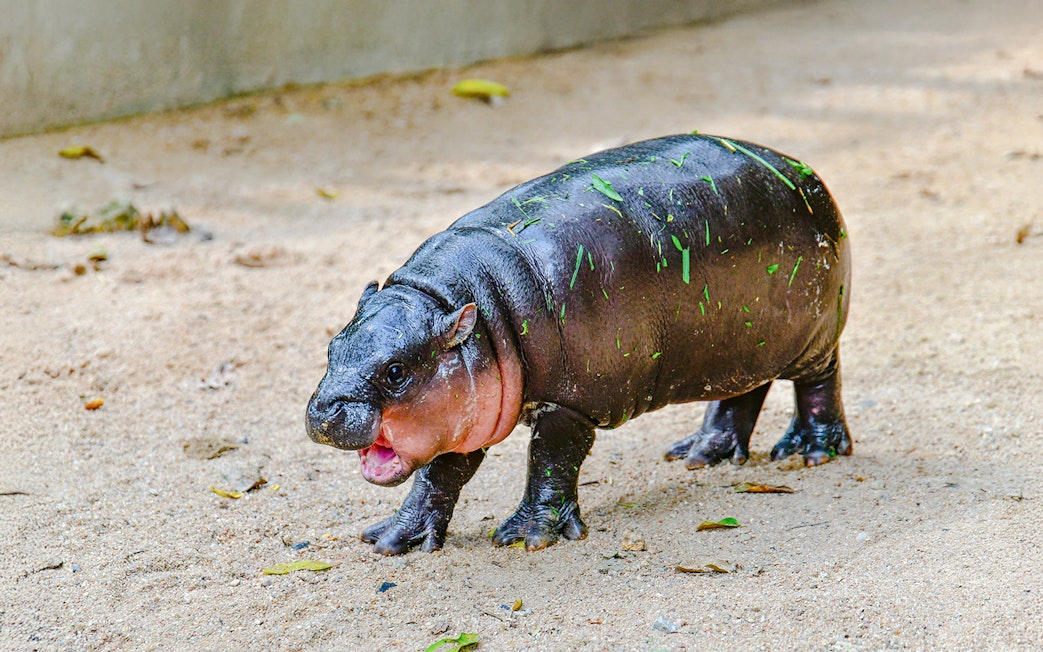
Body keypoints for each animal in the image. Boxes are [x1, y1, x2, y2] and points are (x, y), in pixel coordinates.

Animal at [307, 133, 852, 555]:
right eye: (332, 347)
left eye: (396, 371)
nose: (322, 412)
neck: (470, 302)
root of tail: (803, 171)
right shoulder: (464, 415)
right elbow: (441, 475)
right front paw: (391, 539)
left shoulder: (571, 403)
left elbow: (550, 460)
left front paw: (527, 537)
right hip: (742, 341)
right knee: (743, 391)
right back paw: (699, 454)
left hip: (816, 337)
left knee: (819, 382)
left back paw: (811, 451)